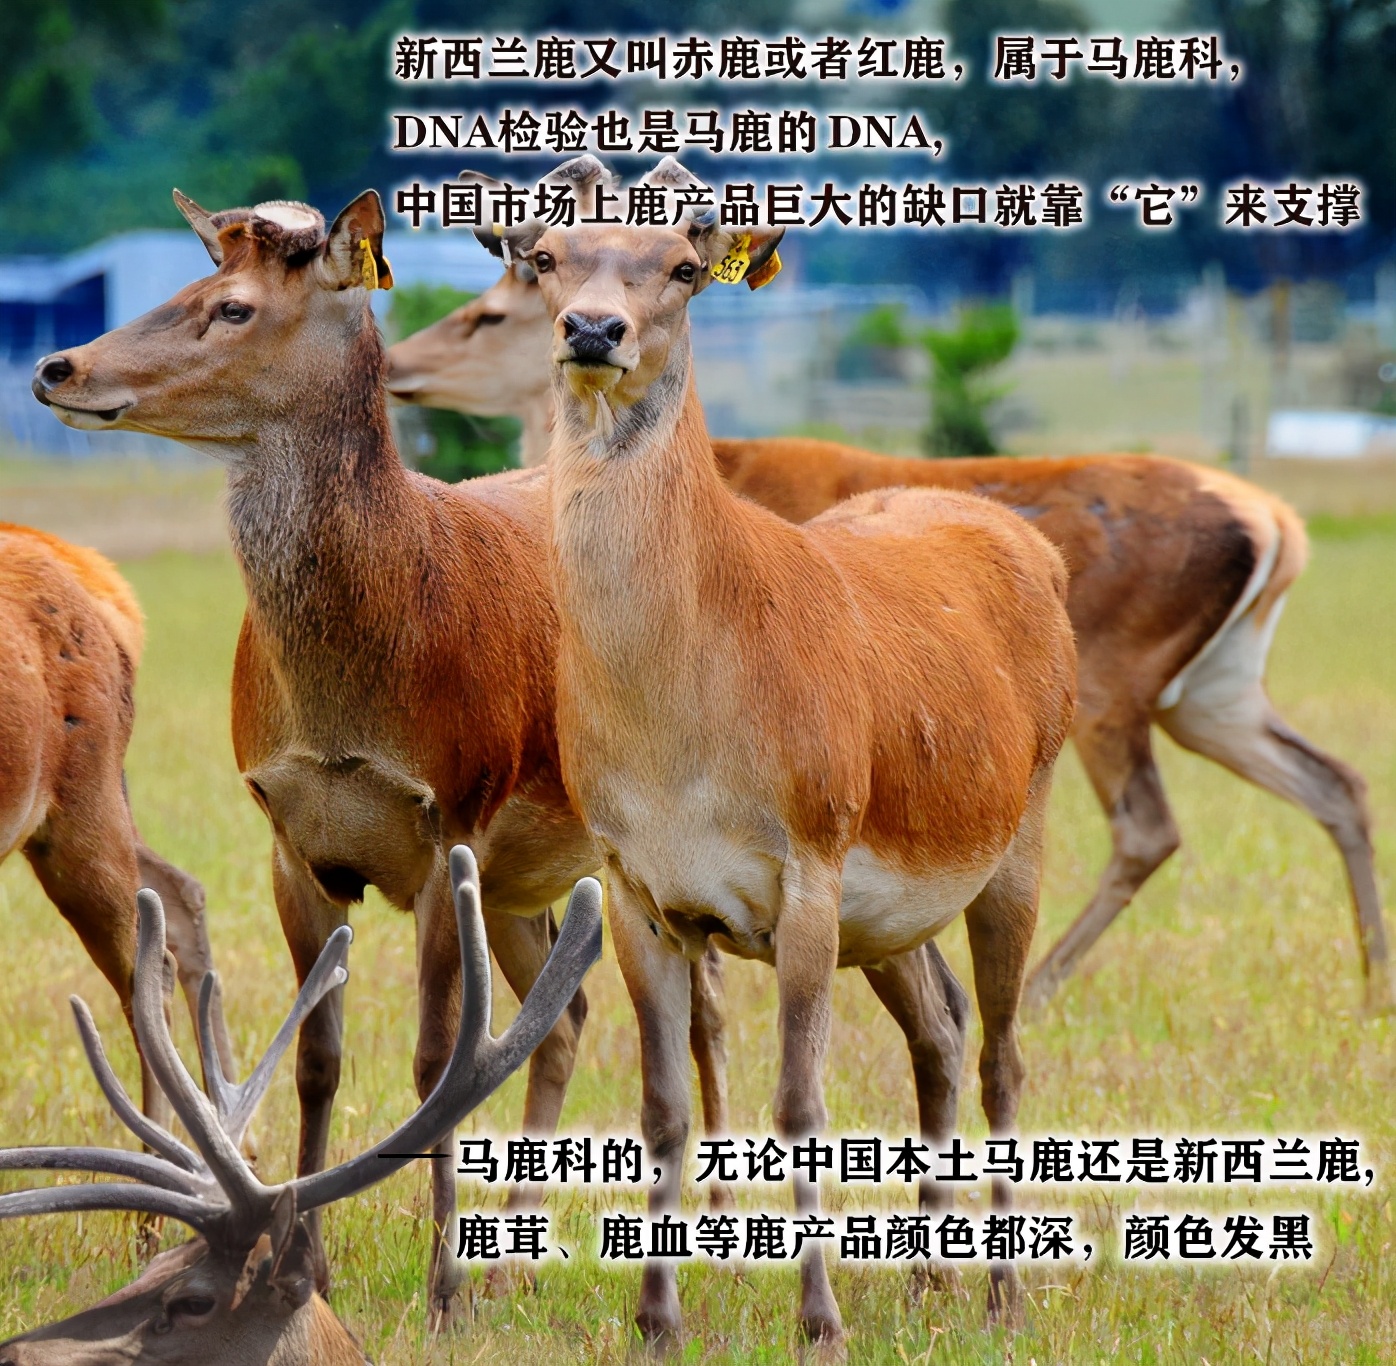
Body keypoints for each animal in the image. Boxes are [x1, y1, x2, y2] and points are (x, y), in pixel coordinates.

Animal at [386, 249, 1389, 1016]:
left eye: (487, 313)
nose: (395, 361)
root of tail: (1278, 523)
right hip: (1215, 690)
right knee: (1335, 779)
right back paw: (1373, 979)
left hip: (1119, 683)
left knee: (1148, 828)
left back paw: (1042, 985)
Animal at [468, 153, 1078, 1351]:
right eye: (547, 255)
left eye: (683, 265)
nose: (593, 328)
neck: (681, 739)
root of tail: (1040, 552)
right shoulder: (633, 880)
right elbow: (662, 1105)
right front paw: (655, 1322)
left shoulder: (812, 850)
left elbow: (801, 1103)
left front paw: (821, 1324)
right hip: (889, 912)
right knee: (938, 1030)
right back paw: (926, 1281)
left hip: (1017, 827)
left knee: (1001, 1048)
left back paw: (1002, 1296)